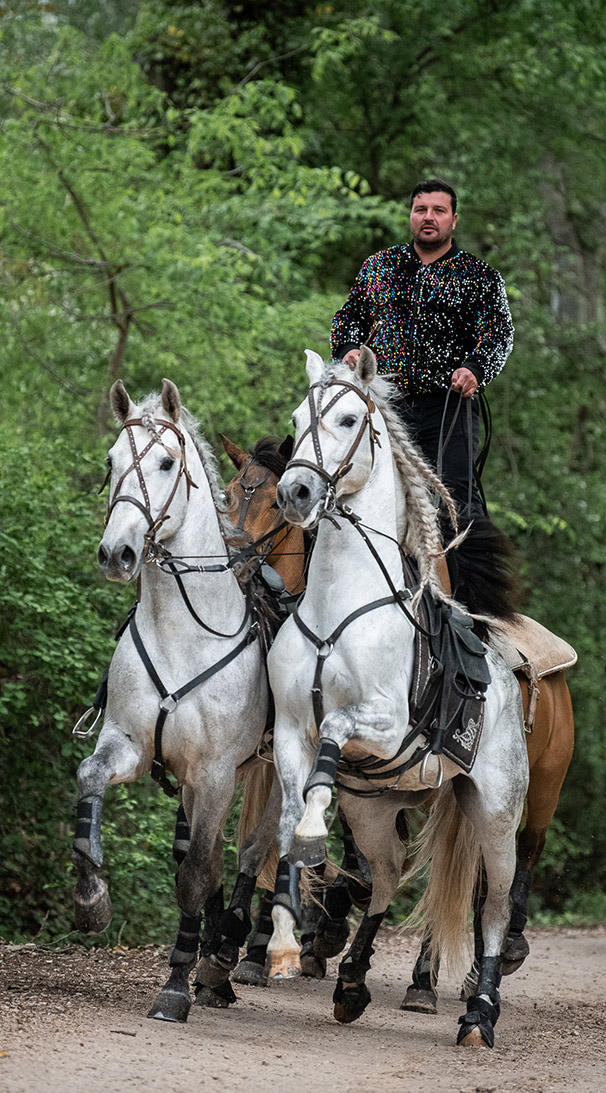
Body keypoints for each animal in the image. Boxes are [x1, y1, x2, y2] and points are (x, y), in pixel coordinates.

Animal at [71, 378, 281, 1023]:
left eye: (167, 463)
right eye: (111, 461)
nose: (115, 553)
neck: (181, 631)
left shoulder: (215, 772)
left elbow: (197, 875)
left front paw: (176, 987)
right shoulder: (130, 746)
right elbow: (90, 778)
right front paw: (91, 896)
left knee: (258, 849)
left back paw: (227, 955)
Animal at [264, 347, 529, 1048]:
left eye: (349, 419)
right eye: (297, 419)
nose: (295, 493)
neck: (337, 605)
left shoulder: (381, 724)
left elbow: (334, 737)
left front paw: (311, 836)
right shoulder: (290, 731)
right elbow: (287, 819)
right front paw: (281, 937)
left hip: (496, 811)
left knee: (494, 906)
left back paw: (479, 1015)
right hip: (373, 808)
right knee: (383, 880)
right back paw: (352, 982)